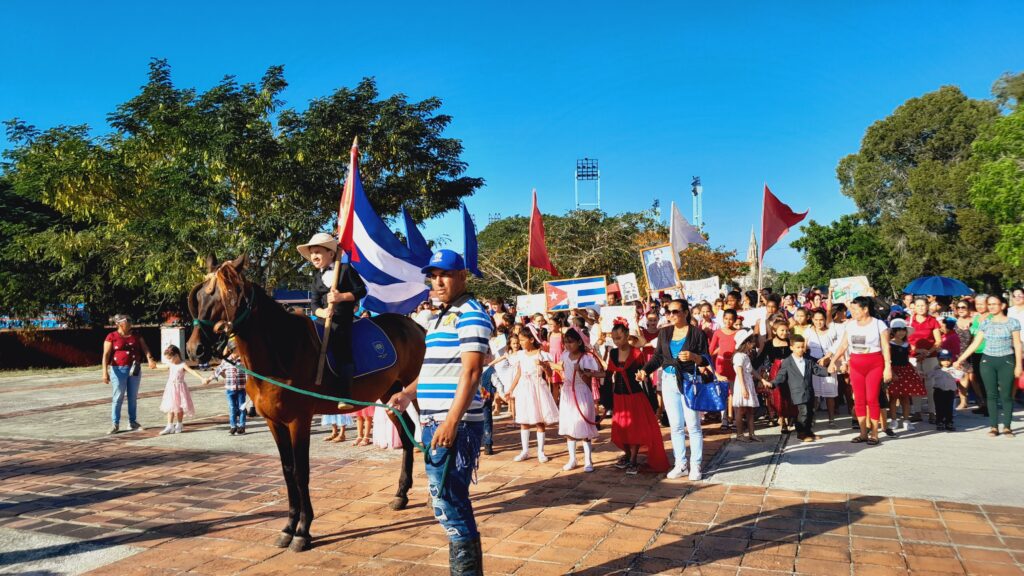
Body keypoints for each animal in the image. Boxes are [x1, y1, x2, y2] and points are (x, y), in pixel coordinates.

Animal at [185, 253, 423, 549]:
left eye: (229, 294)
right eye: (200, 297)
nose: (195, 349)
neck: (280, 351)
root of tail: (413, 325)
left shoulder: (299, 420)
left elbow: (301, 472)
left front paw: (303, 530)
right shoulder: (274, 422)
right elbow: (288, 471)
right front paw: (288, 526)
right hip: (391, 394)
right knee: (407, 432)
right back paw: (401, 493)